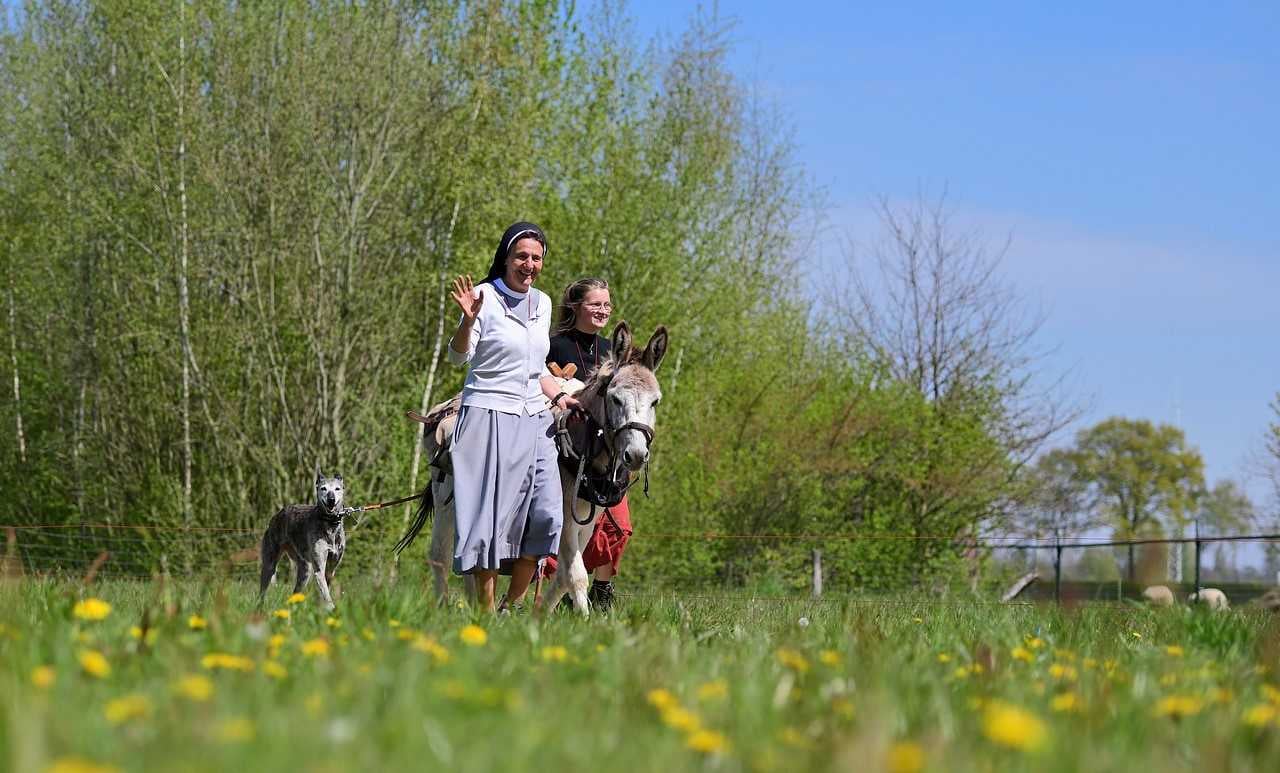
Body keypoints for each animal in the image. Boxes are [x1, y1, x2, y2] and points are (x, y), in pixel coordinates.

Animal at [257, 465, 348, 609]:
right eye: (323, 488)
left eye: (337, 489)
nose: (331, 500)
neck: (330, 525)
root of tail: (277, 515)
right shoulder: (319, 569)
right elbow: (326, 594)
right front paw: (331, 609)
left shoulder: (331, 569)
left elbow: (325, 592)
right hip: (269, 565)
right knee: (262, 593)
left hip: (305, 571)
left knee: (294, 593)